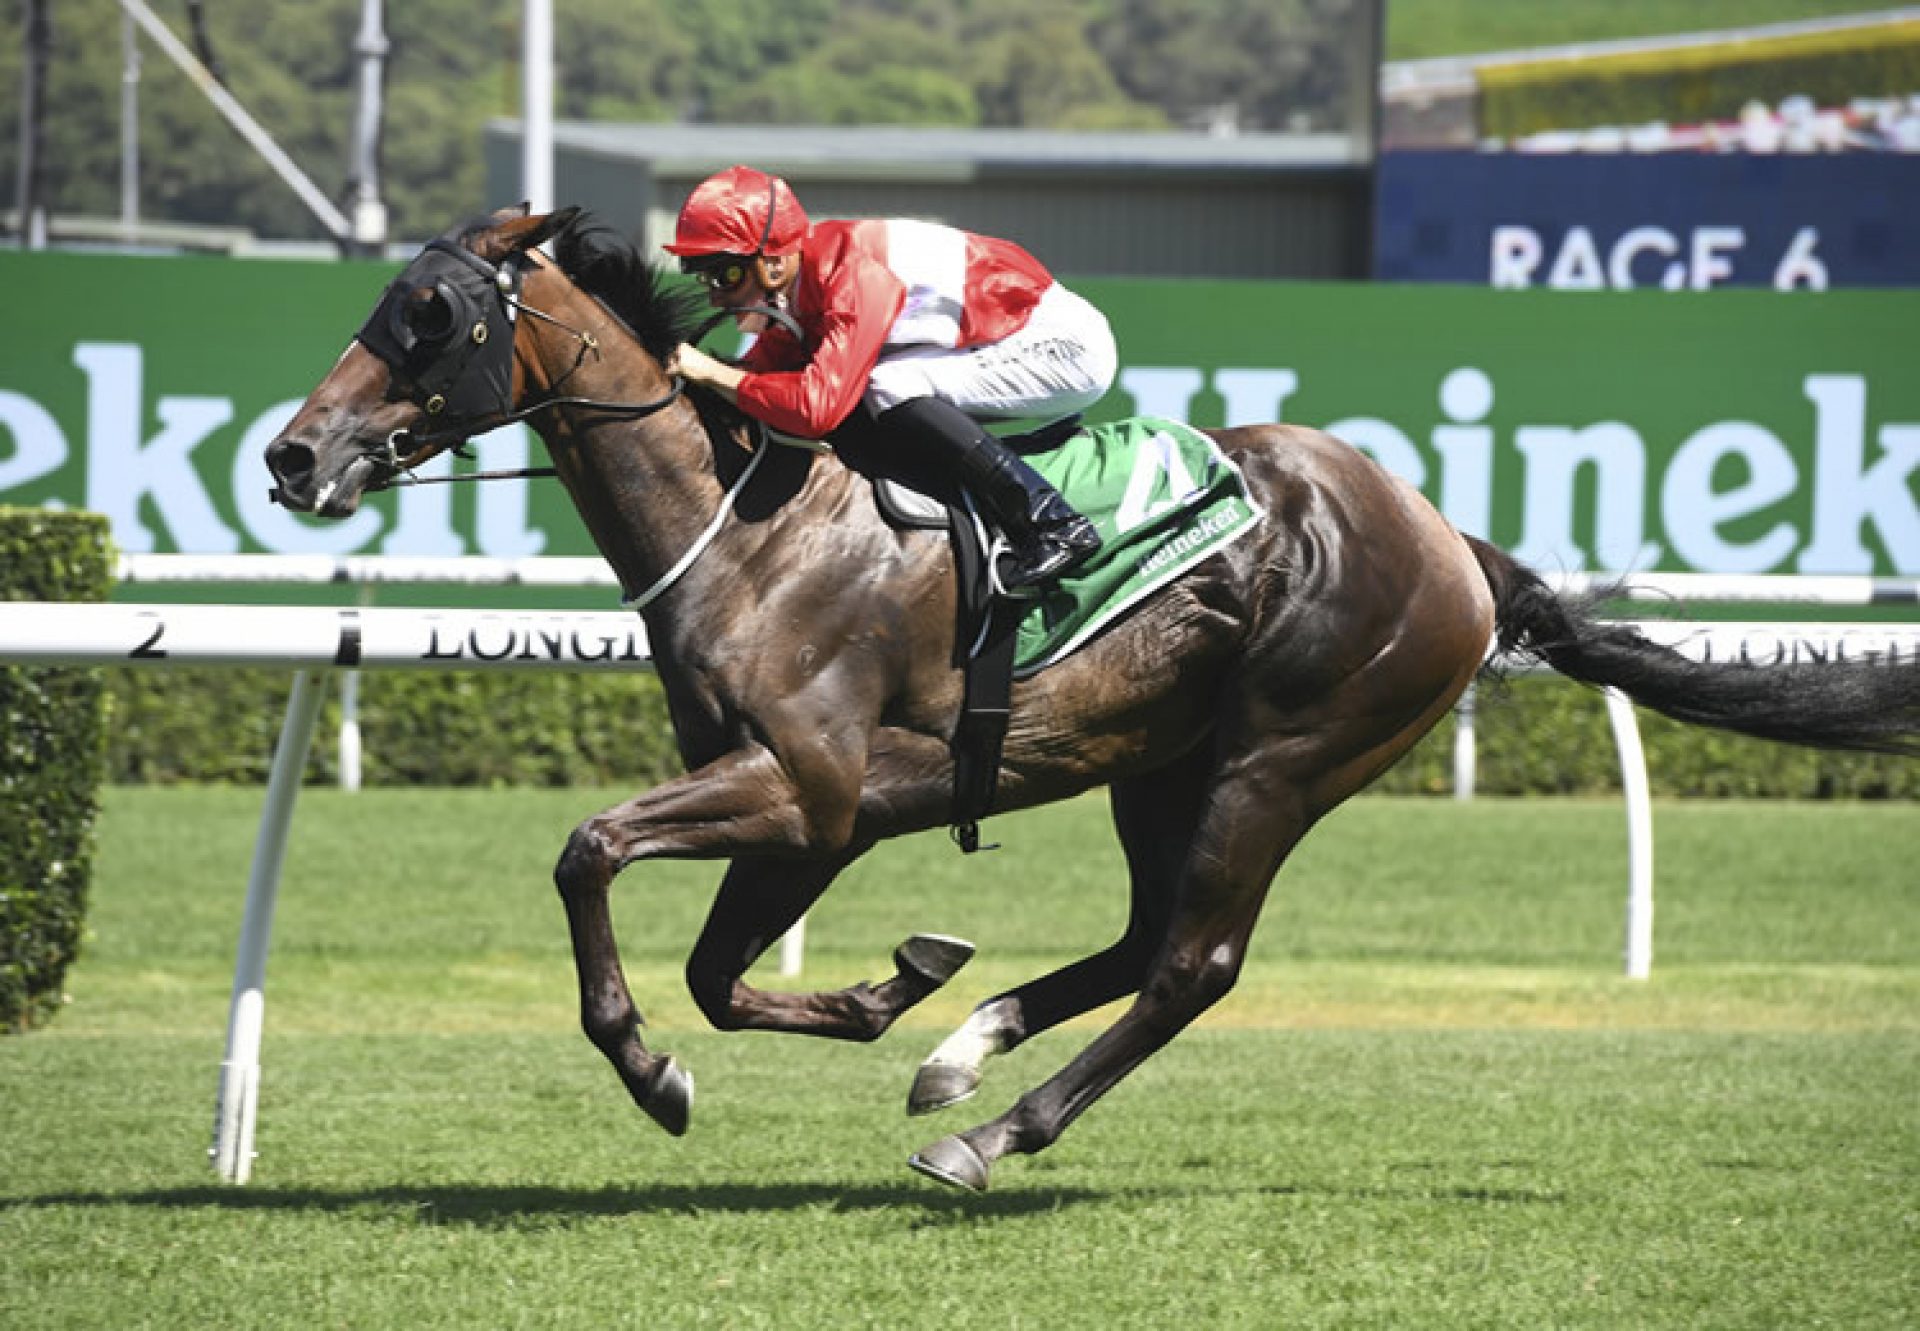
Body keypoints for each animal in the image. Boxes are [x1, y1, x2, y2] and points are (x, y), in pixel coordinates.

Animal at [263, 210, 1912, 1190]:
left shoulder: (806, 785)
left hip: (1283, 758)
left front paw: (656, 1072)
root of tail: (1453, 539)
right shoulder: (824, 814)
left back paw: (994, 1130)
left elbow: (593, 856)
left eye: (429, 315)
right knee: (1138, 937)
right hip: (1155, 758)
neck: (753, 526)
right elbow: (725, 973)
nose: (292, 453)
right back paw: (963, 1044)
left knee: (1193, 962)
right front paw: (886, 990)